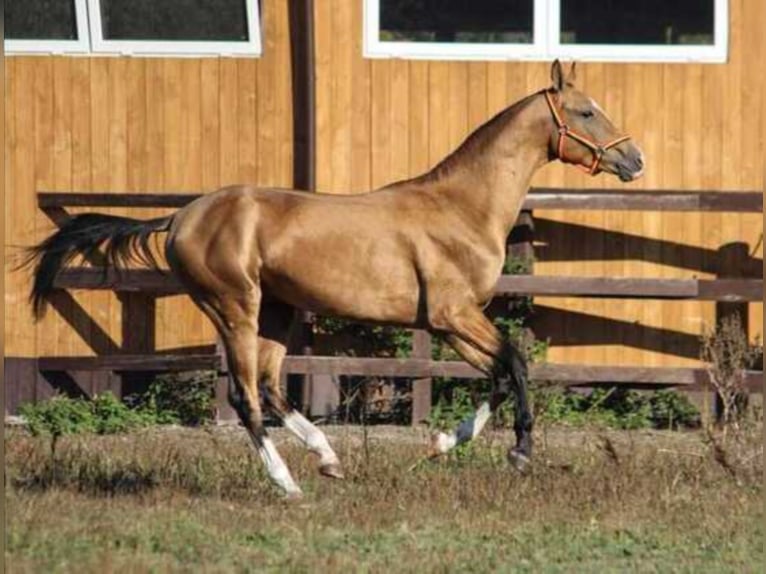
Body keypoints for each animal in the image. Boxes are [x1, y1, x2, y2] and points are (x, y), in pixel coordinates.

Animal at [24, 59, 644, 500]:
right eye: (586, 112)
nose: (634, 160)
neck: (462, 207)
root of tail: (179, 217)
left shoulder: (448, 324)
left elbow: (499, 372)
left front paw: (442, 444)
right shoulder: (454, 315)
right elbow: (514, 361)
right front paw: (519, 452)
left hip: (276, 311)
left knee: (270, 387)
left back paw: (328, 459)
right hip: (235, 307)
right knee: (245, 395)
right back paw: (288, 484)